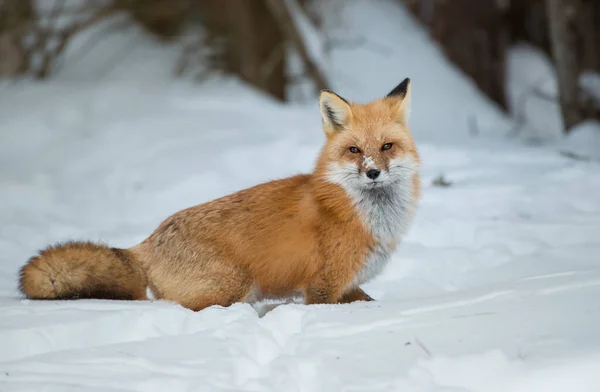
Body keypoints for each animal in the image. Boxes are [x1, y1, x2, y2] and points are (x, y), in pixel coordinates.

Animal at [19, 79, 422, 310]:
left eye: (386, 147)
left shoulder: (350, 286)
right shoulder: (323, 286)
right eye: (354, 150)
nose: (372, 172)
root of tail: (146, 244)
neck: (368, 217)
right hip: (232, 286)